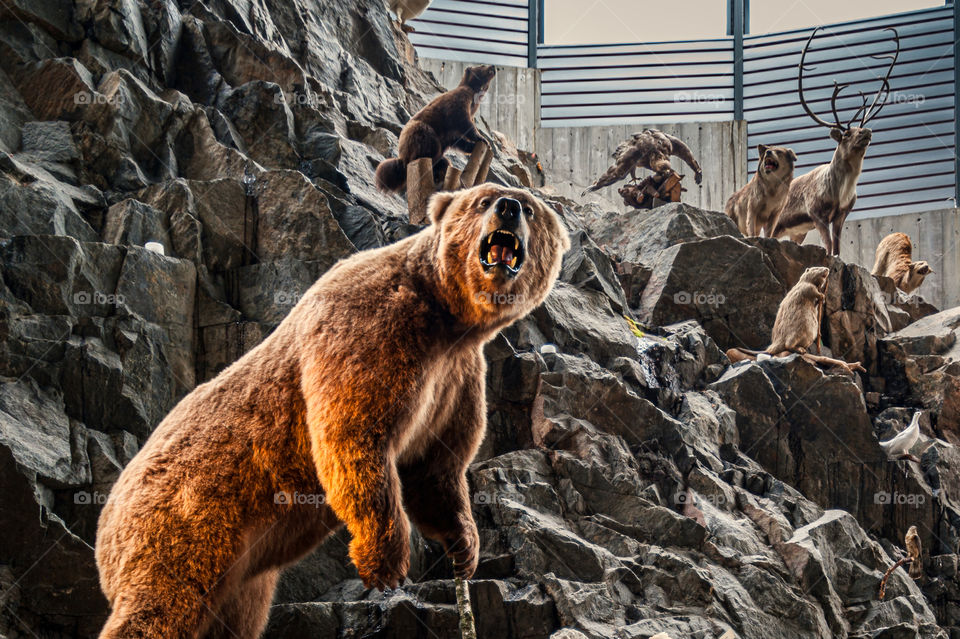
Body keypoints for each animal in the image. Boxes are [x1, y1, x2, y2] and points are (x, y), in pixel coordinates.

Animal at [94, 182, 568, 636]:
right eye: (483, 200)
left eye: (529, 208)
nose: (507, 207)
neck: (448, 318)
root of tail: (107, 514)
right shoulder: (372, 325)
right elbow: (353, 434)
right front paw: (384, 561)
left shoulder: (456, 376)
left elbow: (434, 468)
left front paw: (464, 545)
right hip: (187, 513)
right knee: (165, 600)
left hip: (243, 574)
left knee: (233, 619)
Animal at [376, 64, 496, 192]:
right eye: (482, 65)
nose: (493, 66)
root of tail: (403, 159)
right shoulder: (460, 100)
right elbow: (464, 122)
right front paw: (483, 139)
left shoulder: (454, 130)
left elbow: (458, 140)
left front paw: (473, 146)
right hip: (420, 132)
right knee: (428, 144)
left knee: (444, 162)